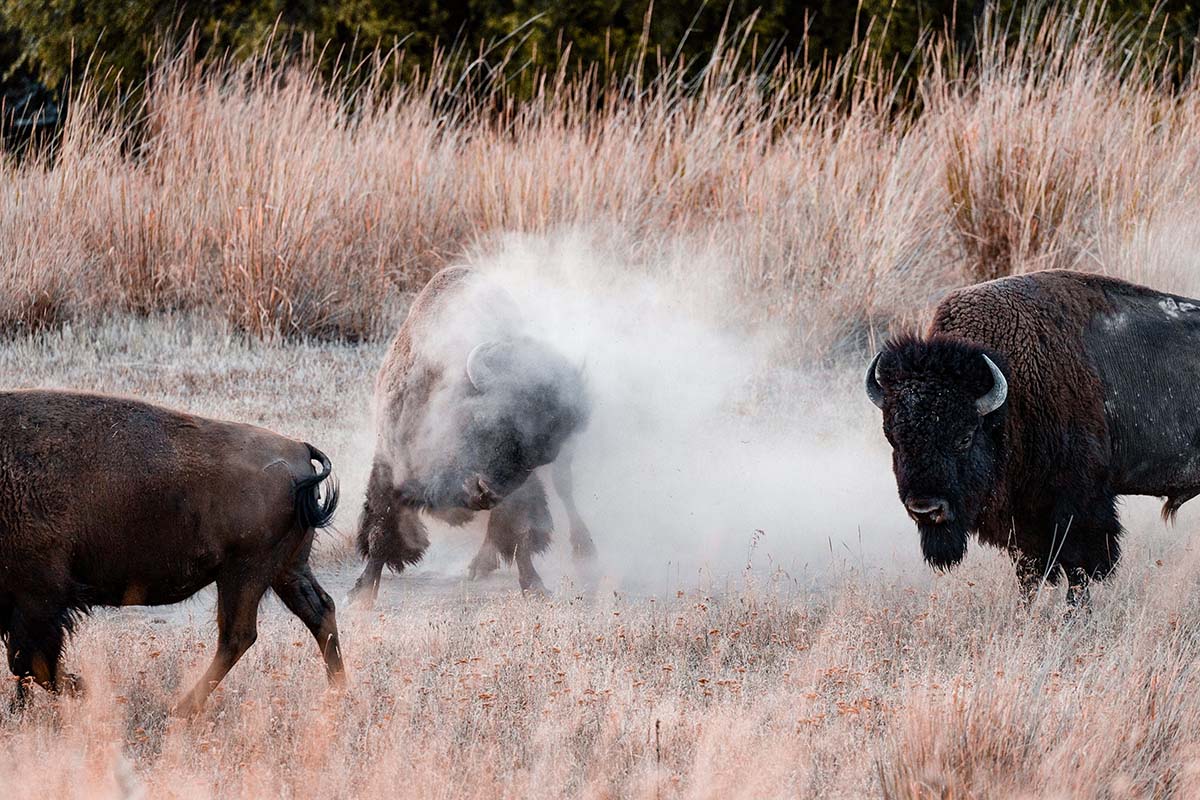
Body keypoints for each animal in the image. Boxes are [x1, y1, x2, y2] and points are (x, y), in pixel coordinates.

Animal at [0, 391, 345, 710]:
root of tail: (299, 449)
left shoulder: (40, 595)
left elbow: (29, 662)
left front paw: (86, 690)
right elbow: (24, 663)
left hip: (245, 572)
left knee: (238, 635)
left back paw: (182, 709)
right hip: (285, 569)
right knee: (319, 610)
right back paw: (338, 691)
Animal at [350, 266, 595, 604]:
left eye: (537, 457)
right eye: (487, 421)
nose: (486, 492)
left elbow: (519, 530)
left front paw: (534, 586)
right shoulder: (389, 462)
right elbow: (381, 527)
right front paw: (360, 596)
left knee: (564, 490)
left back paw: (581, 547)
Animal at [868, 272, 1200, 604]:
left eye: (964, 437)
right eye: (894, 439)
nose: (926, 509)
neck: (1011, 390)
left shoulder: (1077, 505)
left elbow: (1078, 568)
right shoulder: (1024, 520)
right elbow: (1030, 571)